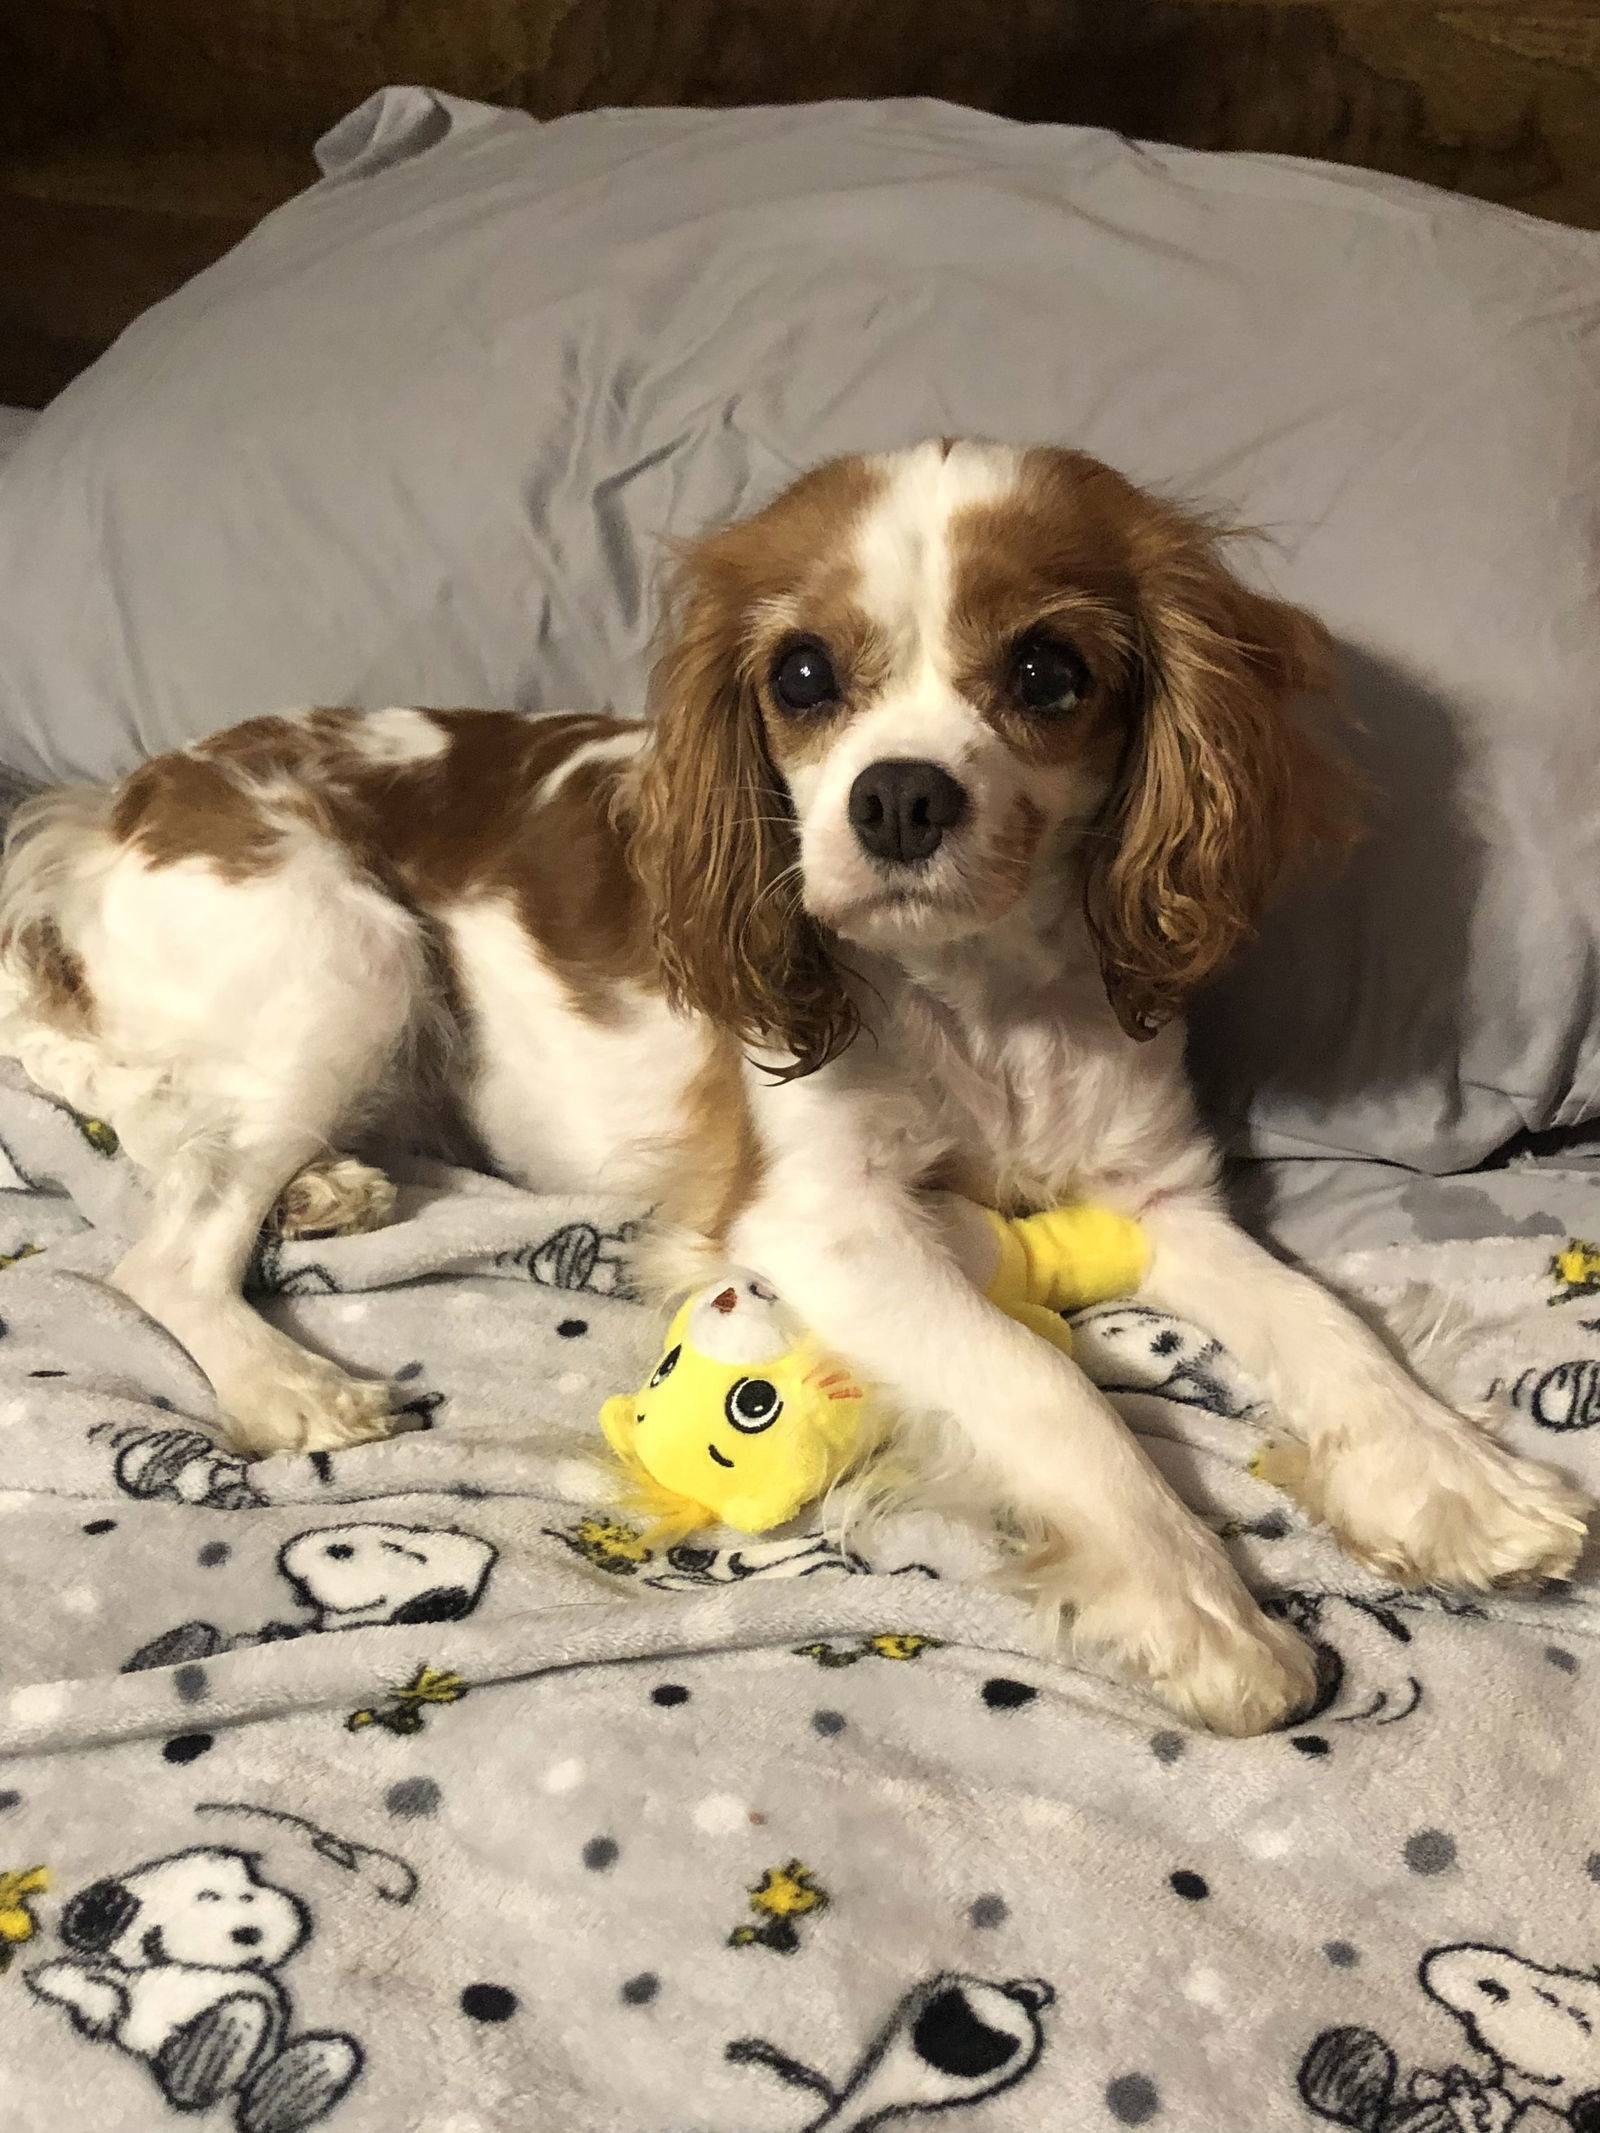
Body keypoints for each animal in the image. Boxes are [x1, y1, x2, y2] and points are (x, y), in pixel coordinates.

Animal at [0, 437, 1595, 1731]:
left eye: (1050, 674)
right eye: (806, 676)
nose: (899, 797)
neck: (980, 994)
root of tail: (122, 800)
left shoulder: (1159, 1200)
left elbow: (1327, 1327)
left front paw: (1459, 1484)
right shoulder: (826, 1225)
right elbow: (1042, 1380)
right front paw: (1200, 1604)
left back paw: (326, 1189)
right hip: (351, 951)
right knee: (161, 1250)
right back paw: (292, 1383)